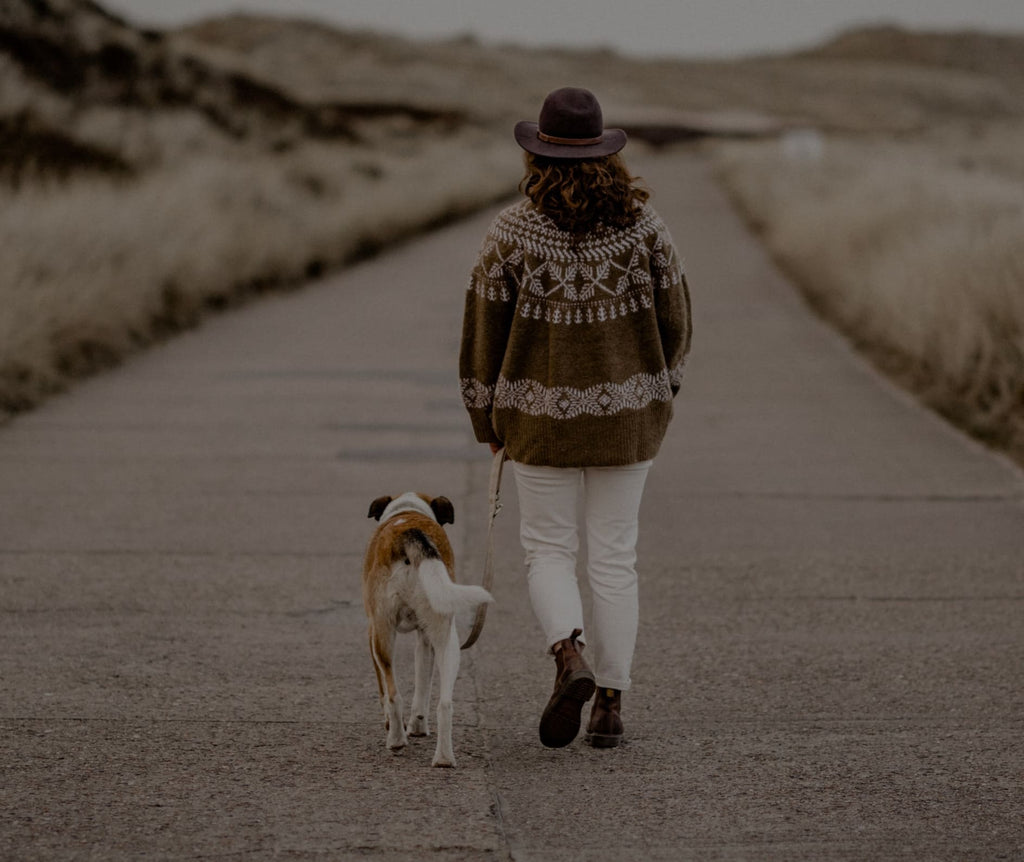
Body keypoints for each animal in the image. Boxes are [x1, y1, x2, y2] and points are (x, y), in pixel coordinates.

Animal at [362, 491, 493, 765]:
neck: (408, 510)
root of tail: (410, 535)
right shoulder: (424, 639)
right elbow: (423, 684)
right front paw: (419, 726)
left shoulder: (372, 632)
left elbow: (384, 689)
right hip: (446, 637)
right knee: (445, 703)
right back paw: (443, 758)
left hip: (382, 632)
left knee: (393, 694)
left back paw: (396, 740)